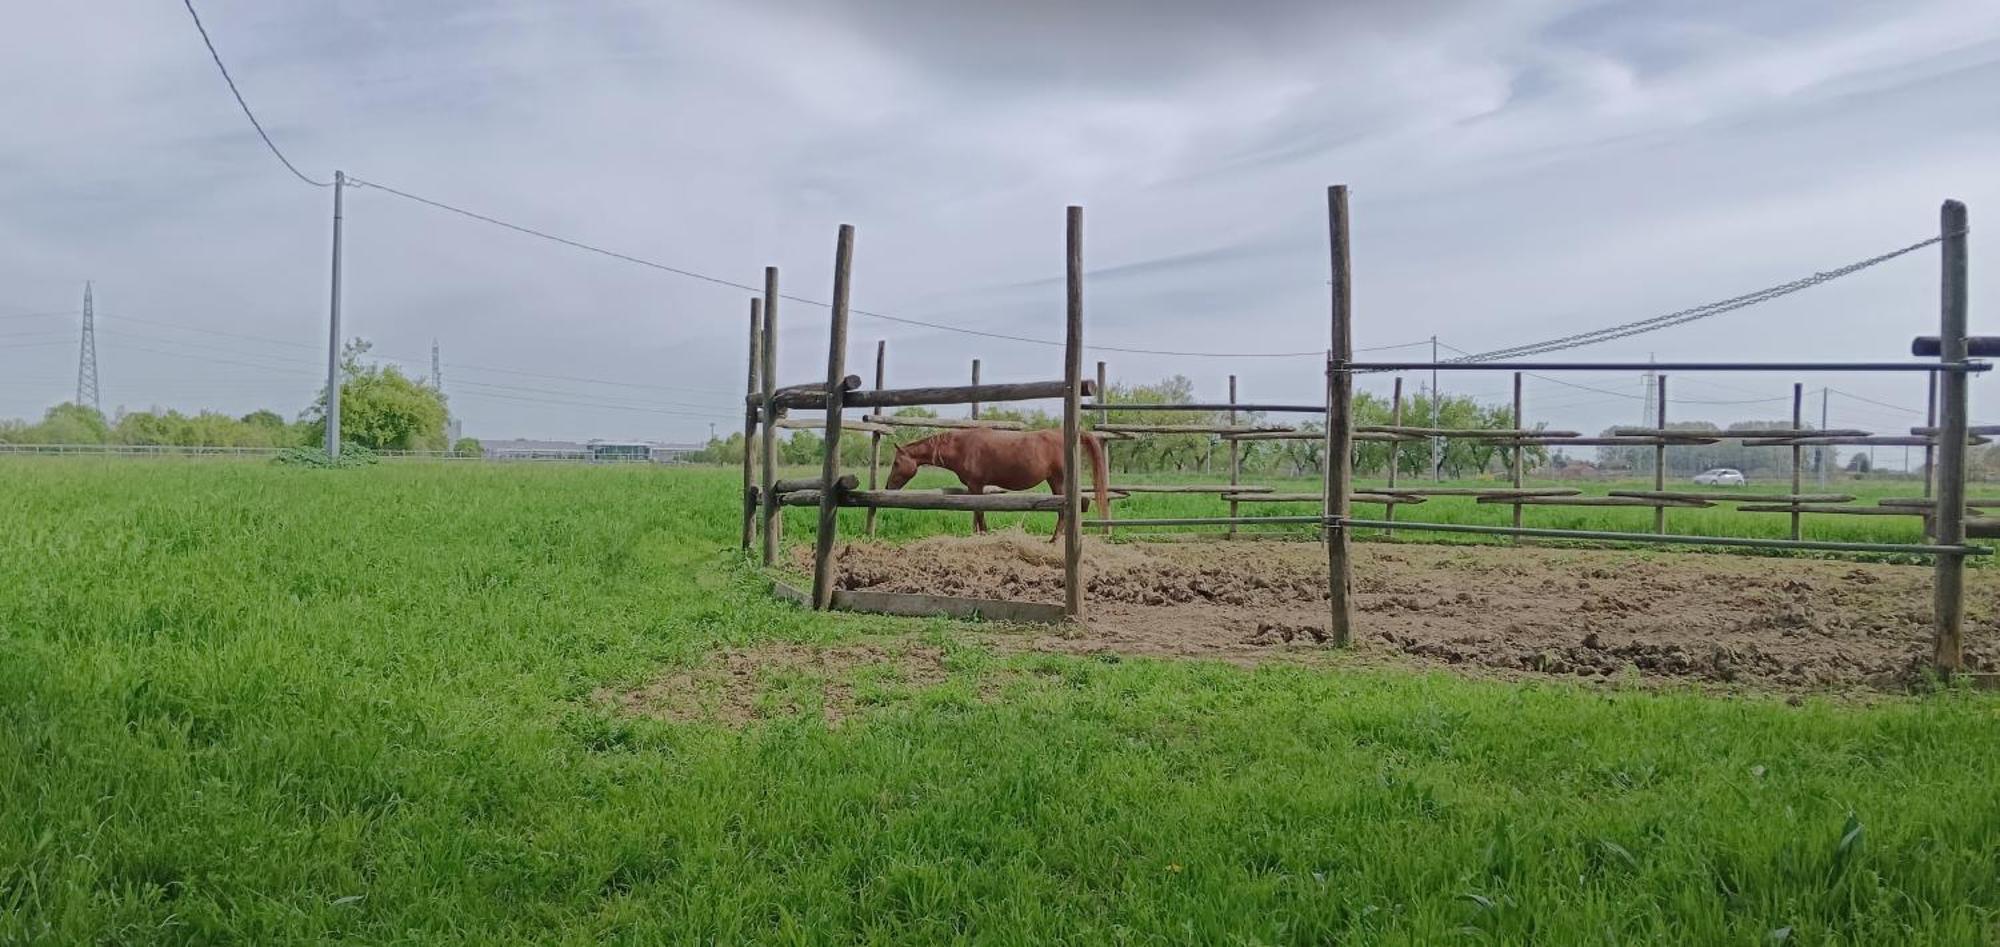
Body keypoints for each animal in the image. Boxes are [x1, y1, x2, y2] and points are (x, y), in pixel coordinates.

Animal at [888, 429, 1112, 539]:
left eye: (896, 462)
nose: (888, 487)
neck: (961, 447)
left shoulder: (976, 485)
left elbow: (979, 512)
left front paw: (985, 534)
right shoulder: (975, 488)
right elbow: (976, 513)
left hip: (1058, 480)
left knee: (1062, 512)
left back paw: (1054, 540)